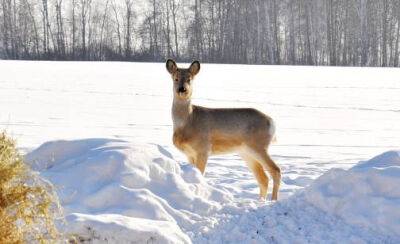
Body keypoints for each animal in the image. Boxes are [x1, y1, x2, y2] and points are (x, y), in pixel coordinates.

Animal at [166, 59, 282, 200]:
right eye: (175, 78)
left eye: (190, 79)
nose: (182, 89)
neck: (189, 120)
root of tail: (272, 122)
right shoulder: (189, 154)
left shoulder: (203, 149)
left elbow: (200, 174)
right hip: (246, 152)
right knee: (263, 178)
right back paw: (261, 201)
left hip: (259, 146)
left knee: (275, 170)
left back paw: (273, 200)